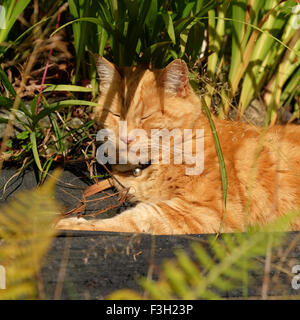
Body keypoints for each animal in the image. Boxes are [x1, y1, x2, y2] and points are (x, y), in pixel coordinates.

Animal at [56, 57, 300, 234]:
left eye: (146, 117)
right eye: (116, 115)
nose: (127, 138)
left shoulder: (206, 212)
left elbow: (135, 218)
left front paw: (73, 224)